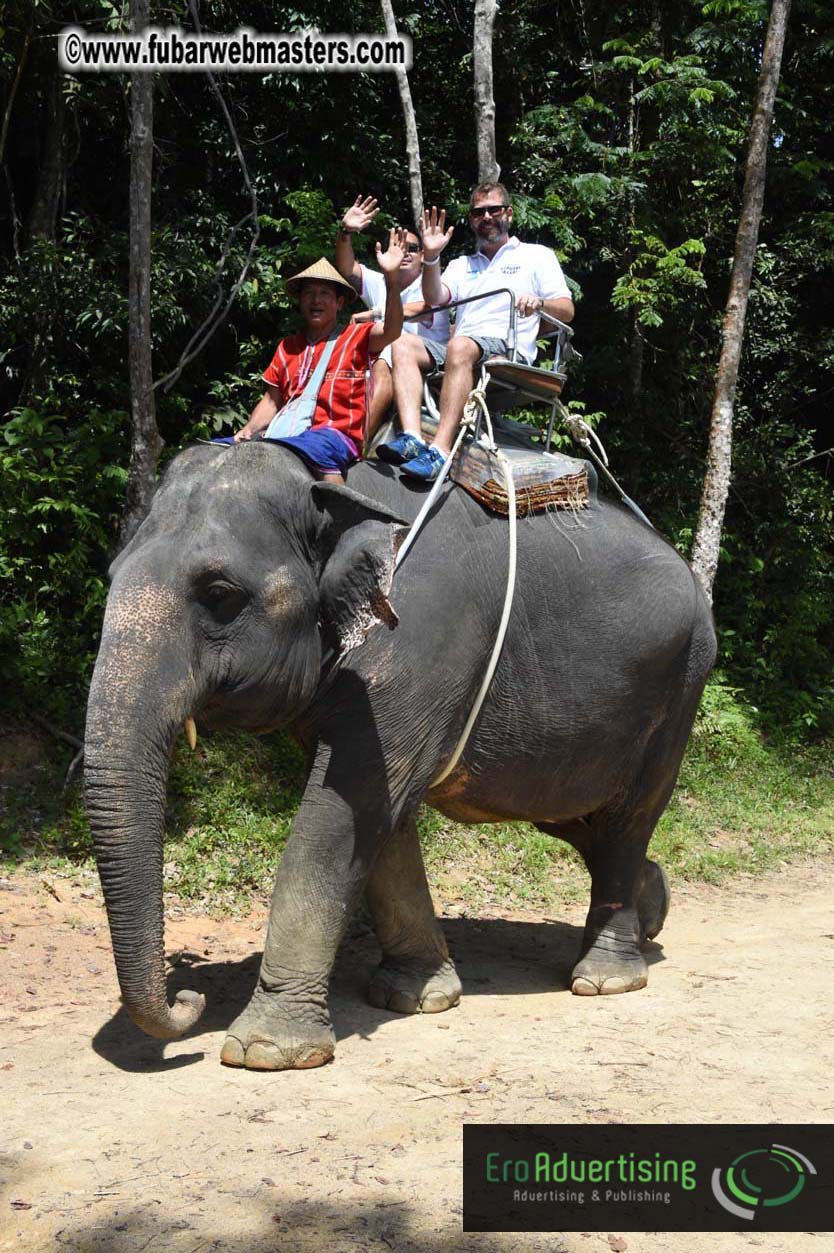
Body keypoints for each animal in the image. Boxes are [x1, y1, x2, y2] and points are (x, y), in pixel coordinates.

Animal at [84, 440, 716, 1071]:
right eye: (111, 576)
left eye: (219, 594)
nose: (188, 998)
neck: (333, 490)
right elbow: (382, 815)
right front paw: (417, 997)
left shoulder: (419, 640)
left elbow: (343, 812)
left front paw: (266, 1051)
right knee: (573, 819)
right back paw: (653, 912)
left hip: (679, 691)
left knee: (627, 821)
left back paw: (606, 978)